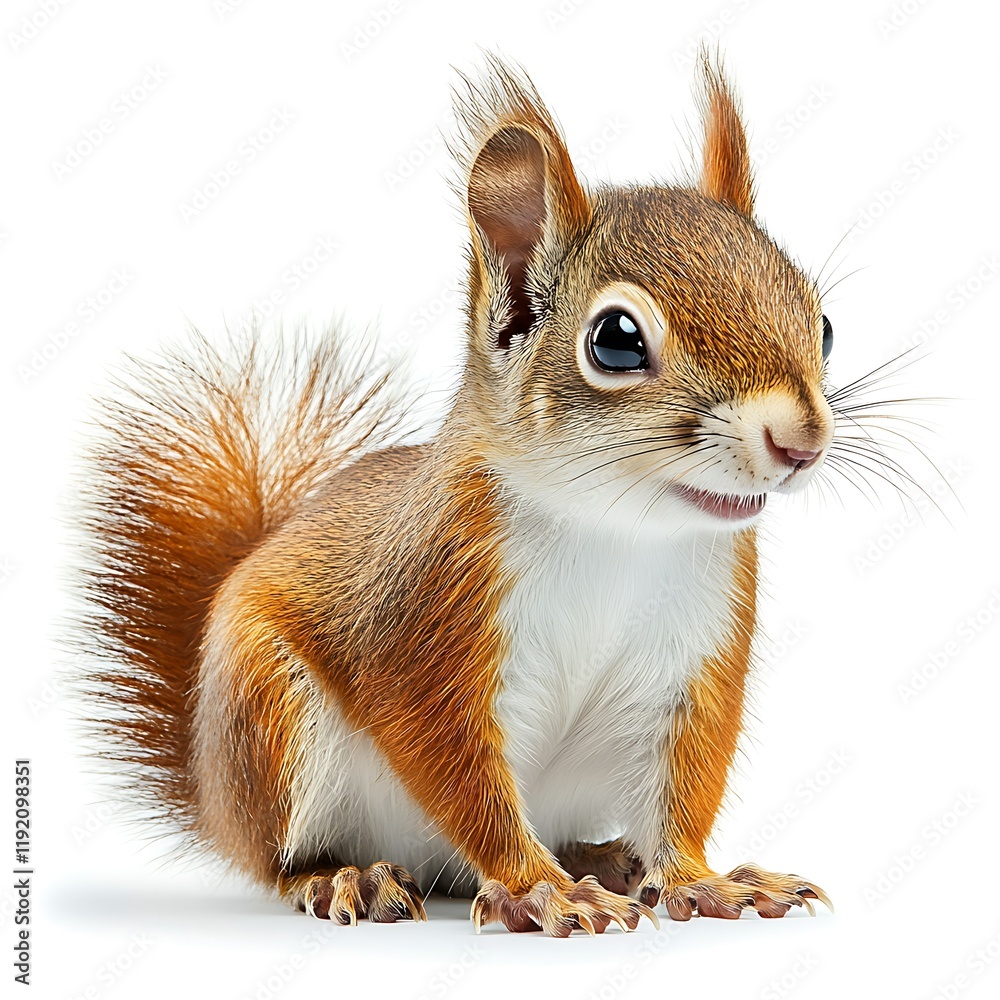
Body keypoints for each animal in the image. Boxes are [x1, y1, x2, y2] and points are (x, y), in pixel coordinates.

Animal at [75, 54, 836, 936]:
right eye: (616, 341)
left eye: (822, 324)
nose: (799, 441)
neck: (617, 530)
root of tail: (214, 795)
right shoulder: (432, 616)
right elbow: (459, 770)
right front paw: (541, 889)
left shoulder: (697, 658)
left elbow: (683, 792)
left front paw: (703, 880)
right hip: (270, 716)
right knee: (282, 857)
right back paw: (349, 876)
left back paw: (604, 857)